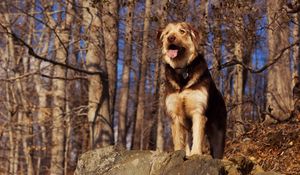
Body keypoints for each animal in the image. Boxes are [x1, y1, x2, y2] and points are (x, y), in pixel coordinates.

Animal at [158, 21, 226, 159]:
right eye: (167, 33)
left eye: (182, 31)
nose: (170, 38)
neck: (183, 71)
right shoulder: (176, 116)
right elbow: (179, 141)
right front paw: (179, 153)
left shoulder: (198, 112)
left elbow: (198, 138)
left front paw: (196, 154)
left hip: (218, 131)